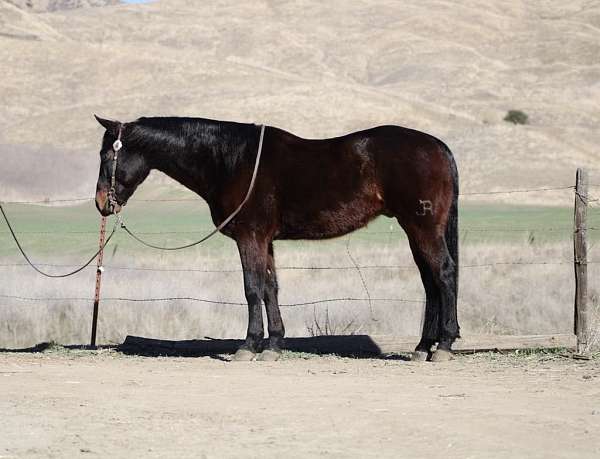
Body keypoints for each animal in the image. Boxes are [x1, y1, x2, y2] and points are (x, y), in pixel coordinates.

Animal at [94, 116, 460, 362]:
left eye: (107, 156)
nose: (101, 203)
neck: (229, 161)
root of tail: (439, 147)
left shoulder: (250, 237)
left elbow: (252, 288)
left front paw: (248, 346)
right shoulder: (265, 240)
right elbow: (270, 287)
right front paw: (273, 345)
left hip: (423, 228)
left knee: (444, 274)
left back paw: (443, 345)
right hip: (415, 230)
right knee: (430, 282)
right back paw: (422, 348)